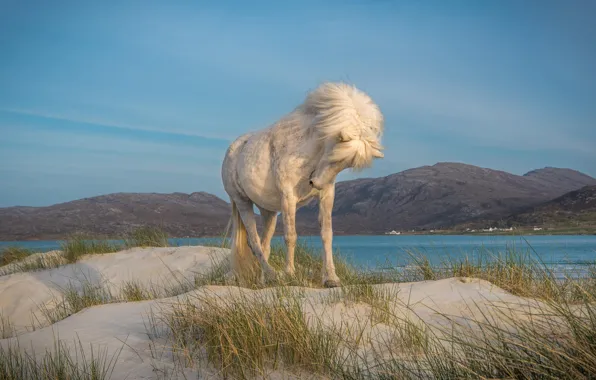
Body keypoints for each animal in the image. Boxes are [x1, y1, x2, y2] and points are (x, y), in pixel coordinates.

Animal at [221, 81, 384, 286]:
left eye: (346, 164)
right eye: (334, 155)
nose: (315, 183)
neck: (304, 148)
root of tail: (232, 149)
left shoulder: (326, 195)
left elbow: (327, 234)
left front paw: (331, 278)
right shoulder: (288, 198)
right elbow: (291, 236)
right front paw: (290, 274)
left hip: (269, 211)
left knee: (264, 245)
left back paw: (264, 280)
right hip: (242, 202)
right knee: (254, 240)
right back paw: (273, 275)